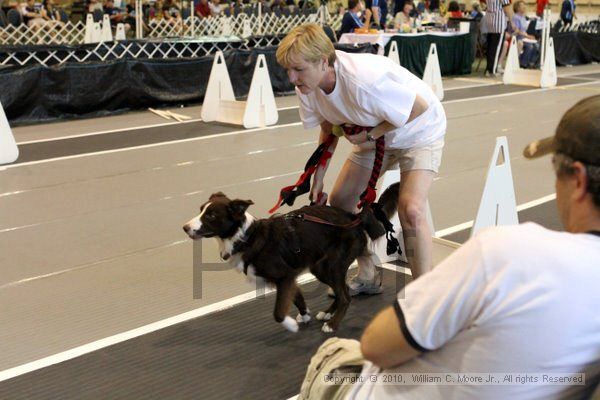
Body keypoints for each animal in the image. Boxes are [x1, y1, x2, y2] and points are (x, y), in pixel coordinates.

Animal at [183, 184, 398, 332]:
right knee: (341, 291)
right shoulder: (289, 276)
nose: (185, 227)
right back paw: (327, 312)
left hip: (333, 265)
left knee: (345, 297)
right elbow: (297, 297)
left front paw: (291, 325)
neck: (247, 237)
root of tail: (354, 218)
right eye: (201, 210)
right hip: (320, 267)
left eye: (211, 215)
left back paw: (332, 324)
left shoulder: (284, 275)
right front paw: (305, 316)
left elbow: (278, 312)